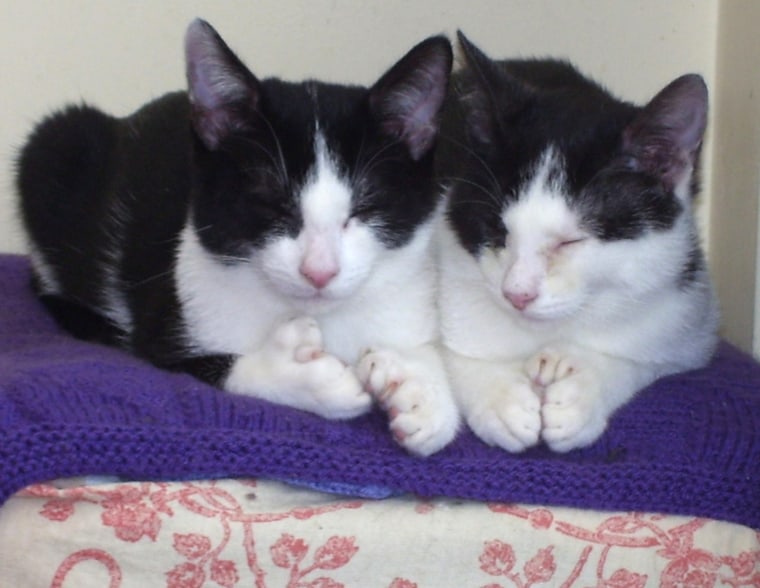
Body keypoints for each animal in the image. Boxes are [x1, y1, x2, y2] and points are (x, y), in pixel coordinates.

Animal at [16, 18, 458, 458]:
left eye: (366, 207)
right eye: (272, 203)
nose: (318, 271)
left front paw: (420, 392)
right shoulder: (166, 315)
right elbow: (191, 364)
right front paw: (299, 376)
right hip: (56, 142)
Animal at [434, 32, 720, 452]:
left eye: (571, 242)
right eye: (498, 231)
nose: (517, 294)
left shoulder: (692, 320)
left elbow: (646, 358)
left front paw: (583, 392)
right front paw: (499, 396)